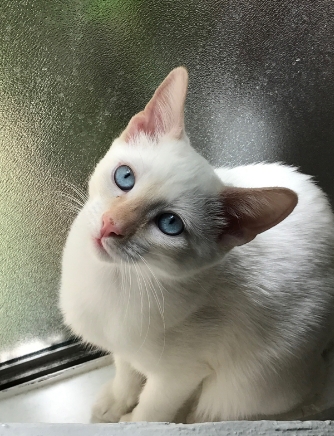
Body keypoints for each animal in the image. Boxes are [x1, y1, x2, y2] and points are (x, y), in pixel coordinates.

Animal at [60, 67, 334, 422]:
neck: (115, 280)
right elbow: (126, 370)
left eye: (170, 224)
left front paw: (132, 422)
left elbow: (151, 411)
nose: (110, 225)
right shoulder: (124, 346)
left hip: (251, 385)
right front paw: (116, 402)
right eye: (125, 177)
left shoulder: (180, 375)